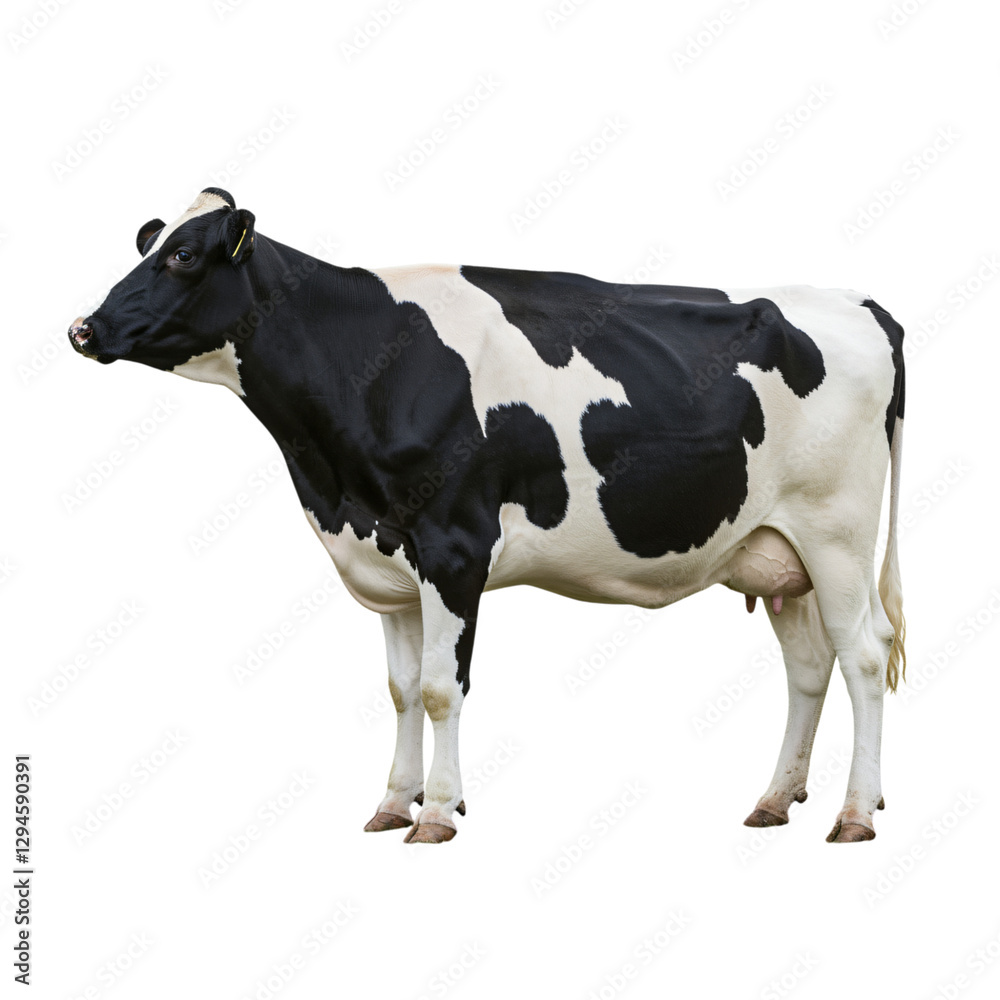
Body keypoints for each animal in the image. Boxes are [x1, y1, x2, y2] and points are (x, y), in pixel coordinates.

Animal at [68, 188, 906, 844]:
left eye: (183, 256)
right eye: (149, 243)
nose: (83, 328)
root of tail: (855, 301)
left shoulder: (453, 547)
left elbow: (443, 687)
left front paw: (438, 812)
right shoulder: (389, 558)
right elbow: (403, 689)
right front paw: (392, 804)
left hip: (838, 531)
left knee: (863, 656)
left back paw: (856, 813)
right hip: (776, 550)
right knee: (809, 665)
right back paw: (774, 799)